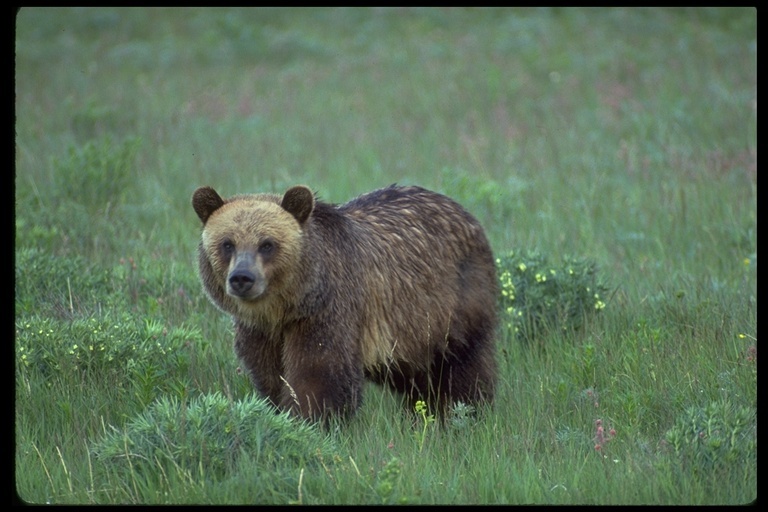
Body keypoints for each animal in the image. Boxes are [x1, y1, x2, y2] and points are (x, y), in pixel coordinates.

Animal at [192, 183, 498, 420]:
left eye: (267, 244)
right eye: (227, 243)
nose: (242, 278)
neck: (287, 307)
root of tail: (464, 211)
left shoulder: (328, 312)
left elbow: (319, 375)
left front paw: (308, 418)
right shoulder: (261, 331)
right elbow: (269, 376)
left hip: (451, 304)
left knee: (461, 365)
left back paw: (460, 411)